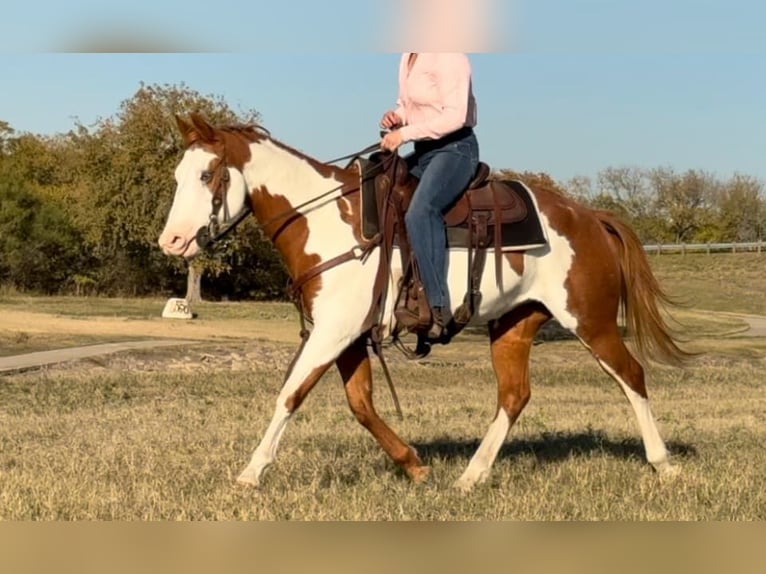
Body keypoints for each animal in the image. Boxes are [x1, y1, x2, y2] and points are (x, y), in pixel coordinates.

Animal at [158, 113, 690, 491]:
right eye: (178, 175)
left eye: (208, 174)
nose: (172, 241)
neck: (328, 221)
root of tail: (590, 217)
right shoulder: (349, 335)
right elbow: (361, 404)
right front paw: (414, 465)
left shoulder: (332, 333)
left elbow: (291, 393)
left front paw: (251, 473)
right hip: (514, 324)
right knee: (514, 396)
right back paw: (471, 477)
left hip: (591, 321)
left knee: (631, 375)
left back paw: (663, 463)